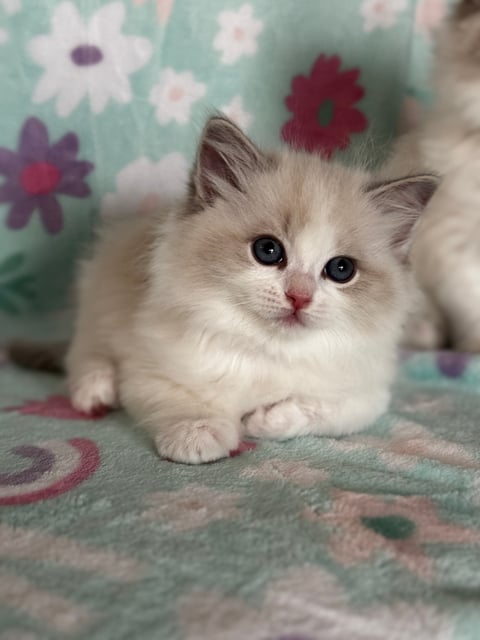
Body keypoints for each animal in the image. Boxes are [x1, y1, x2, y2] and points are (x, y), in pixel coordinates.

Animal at [8, 115, 438, 462]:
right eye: (268, 251)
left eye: (341, 270)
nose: (299, 297)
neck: (267, 350)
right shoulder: (148, 365)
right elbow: (182, 401)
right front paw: (198, 437)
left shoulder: (368, 391)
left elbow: (327, 411)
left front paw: (265, 420)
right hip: (99, 292)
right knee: (84, 353)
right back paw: (95, 392)